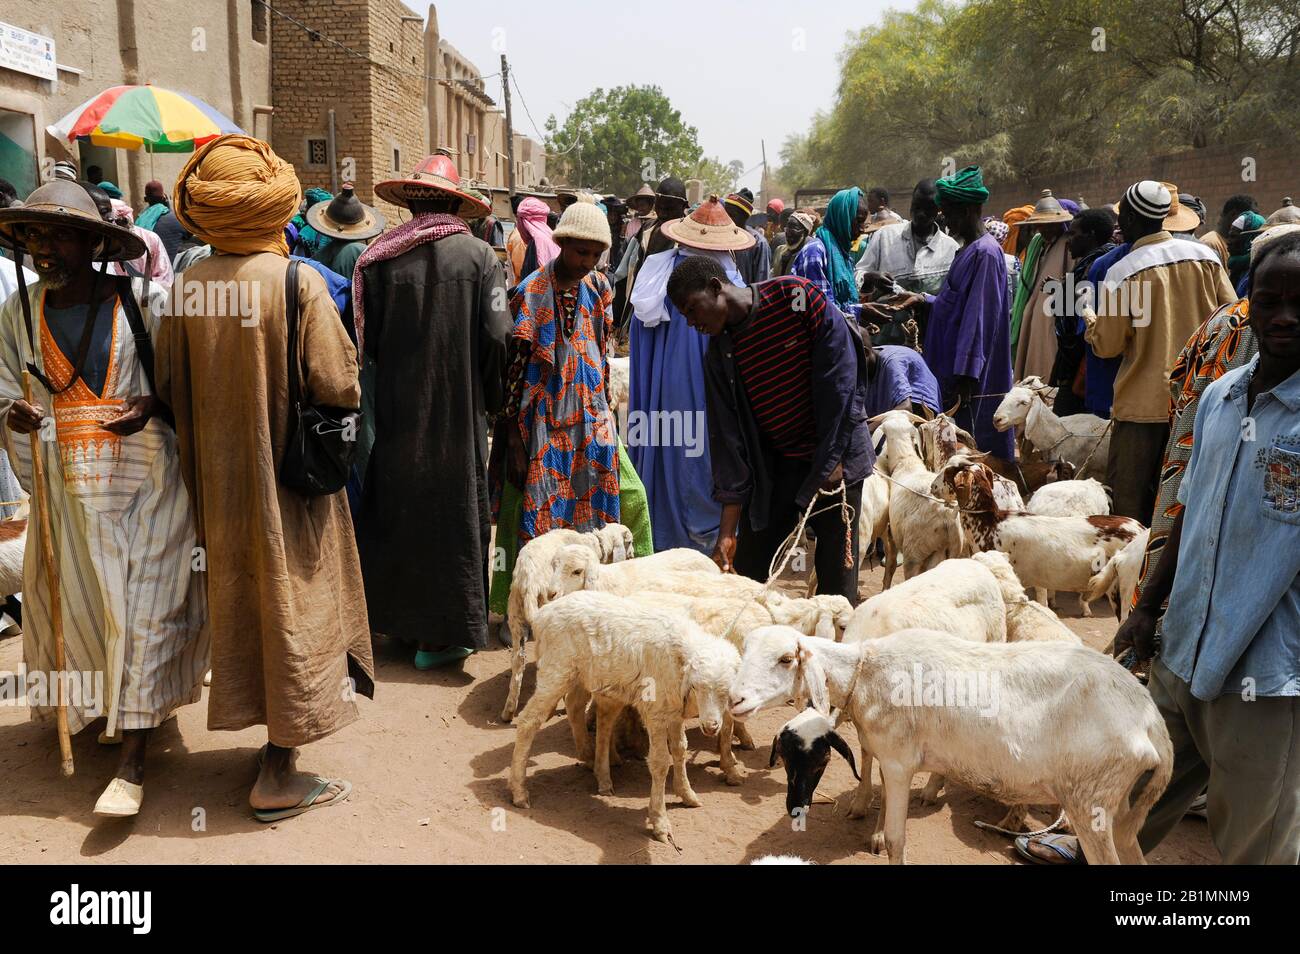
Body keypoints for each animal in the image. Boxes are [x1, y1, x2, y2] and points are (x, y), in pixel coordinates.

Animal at [509, 590, 743, 842]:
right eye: (698, 687)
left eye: (727, 691)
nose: (711, 726)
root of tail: (543, 614)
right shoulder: (656, 712)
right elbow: (660, 762)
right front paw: (660, 821)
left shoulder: (674, 712)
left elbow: (680, 749)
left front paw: (686, 793)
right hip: (556, 670)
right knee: (528, 721)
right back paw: (519, 791)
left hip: (593, 677)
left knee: (587, 711)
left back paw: (598, 769)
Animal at [733, 629, 1180, 868]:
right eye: (785, 758)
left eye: (786, 658)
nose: (735, 700)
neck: (865, 672)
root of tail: (1151, 721)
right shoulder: (891, 759)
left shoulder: (899, 762)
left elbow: (896, 839)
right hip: (1119, 804)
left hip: (1090, 803)